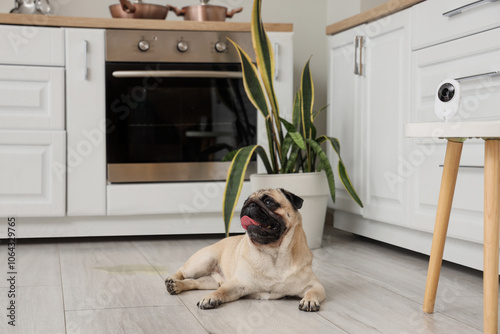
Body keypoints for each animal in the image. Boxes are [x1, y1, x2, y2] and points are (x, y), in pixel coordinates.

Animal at [166, 188, 326, 310]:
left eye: (268, 202)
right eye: (244, 201)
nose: (249, 204)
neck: (273, 253)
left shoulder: (314, 285)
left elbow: (312, 292)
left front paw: (309, 300)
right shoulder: (237, 285)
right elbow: (221, 292)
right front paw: (210, 298)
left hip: (211, 281)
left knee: (196, 282)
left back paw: (177, 286)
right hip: (201, 262)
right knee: (183, 271)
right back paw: (172, 280)